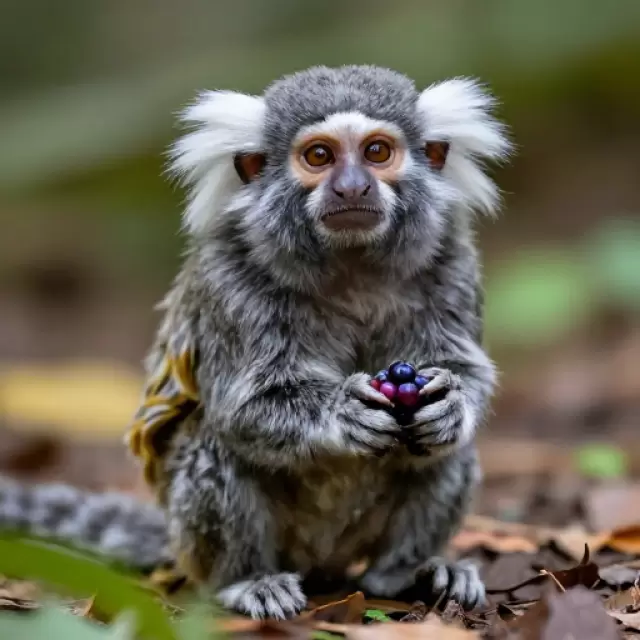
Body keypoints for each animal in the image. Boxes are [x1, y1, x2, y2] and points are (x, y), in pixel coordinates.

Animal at [0, 65, 512, 621]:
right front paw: (342, 413)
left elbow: (460, 372)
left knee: (446, 453)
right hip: (204, 540)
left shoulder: (451, 262)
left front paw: (451, 405)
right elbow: (243, 407)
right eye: (319, 156)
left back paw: (407, 574)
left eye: (377, 152)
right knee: (213, 446)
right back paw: (246, 581)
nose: (352, 186)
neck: (351, 267)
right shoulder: (230, 280)